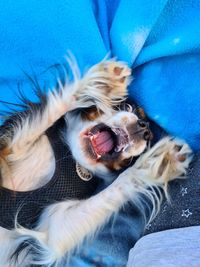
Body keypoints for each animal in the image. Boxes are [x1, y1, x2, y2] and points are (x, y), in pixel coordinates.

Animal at [0, 59, 191, 266]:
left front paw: (157, 162)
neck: (73, 158)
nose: (145, 128)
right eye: (128, 107)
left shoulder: (55, 229)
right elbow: (50, 112)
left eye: (149, 142)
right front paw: (105, 84)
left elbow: (114, 189)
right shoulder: (7, 146)